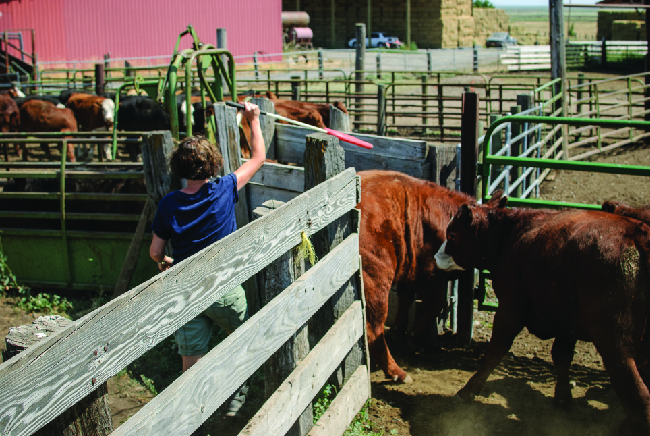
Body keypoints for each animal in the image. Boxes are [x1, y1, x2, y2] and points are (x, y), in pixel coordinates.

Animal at [356, 169, 474, 382]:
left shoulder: (408, 270)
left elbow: (406, 298)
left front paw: (399, 332)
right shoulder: (430, 274)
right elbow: (436, 304)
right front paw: (414, 337)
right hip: (376, 283)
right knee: (372, 328)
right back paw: (397, 373)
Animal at [432, 195, 650, 436]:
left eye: (452, 234)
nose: (435, 257)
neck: (512, 234)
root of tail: (639, 236)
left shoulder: (511, 306)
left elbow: (495, 351)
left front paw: (468, 391)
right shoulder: (566, 320)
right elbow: (561, 355)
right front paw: (563, 398)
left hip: (614, 342)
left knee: (638, 392)